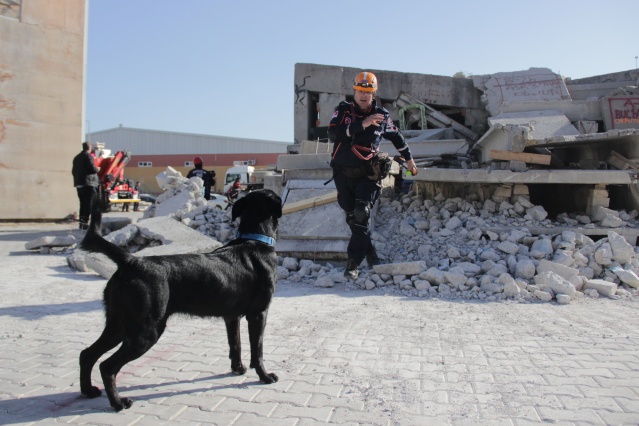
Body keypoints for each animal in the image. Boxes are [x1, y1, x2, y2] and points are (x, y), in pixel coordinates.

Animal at [78, 189, 282, 410]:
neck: (254, 239)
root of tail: (132, 261)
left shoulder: (231, 317)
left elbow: (235, 345)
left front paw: (238, 368)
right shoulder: (258, 314)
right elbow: (257, 350)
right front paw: (264, 376)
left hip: (119, 324)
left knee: (87, 354)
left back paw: (88, 391)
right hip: (145, 331)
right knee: (107, 366)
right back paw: (117, 403)